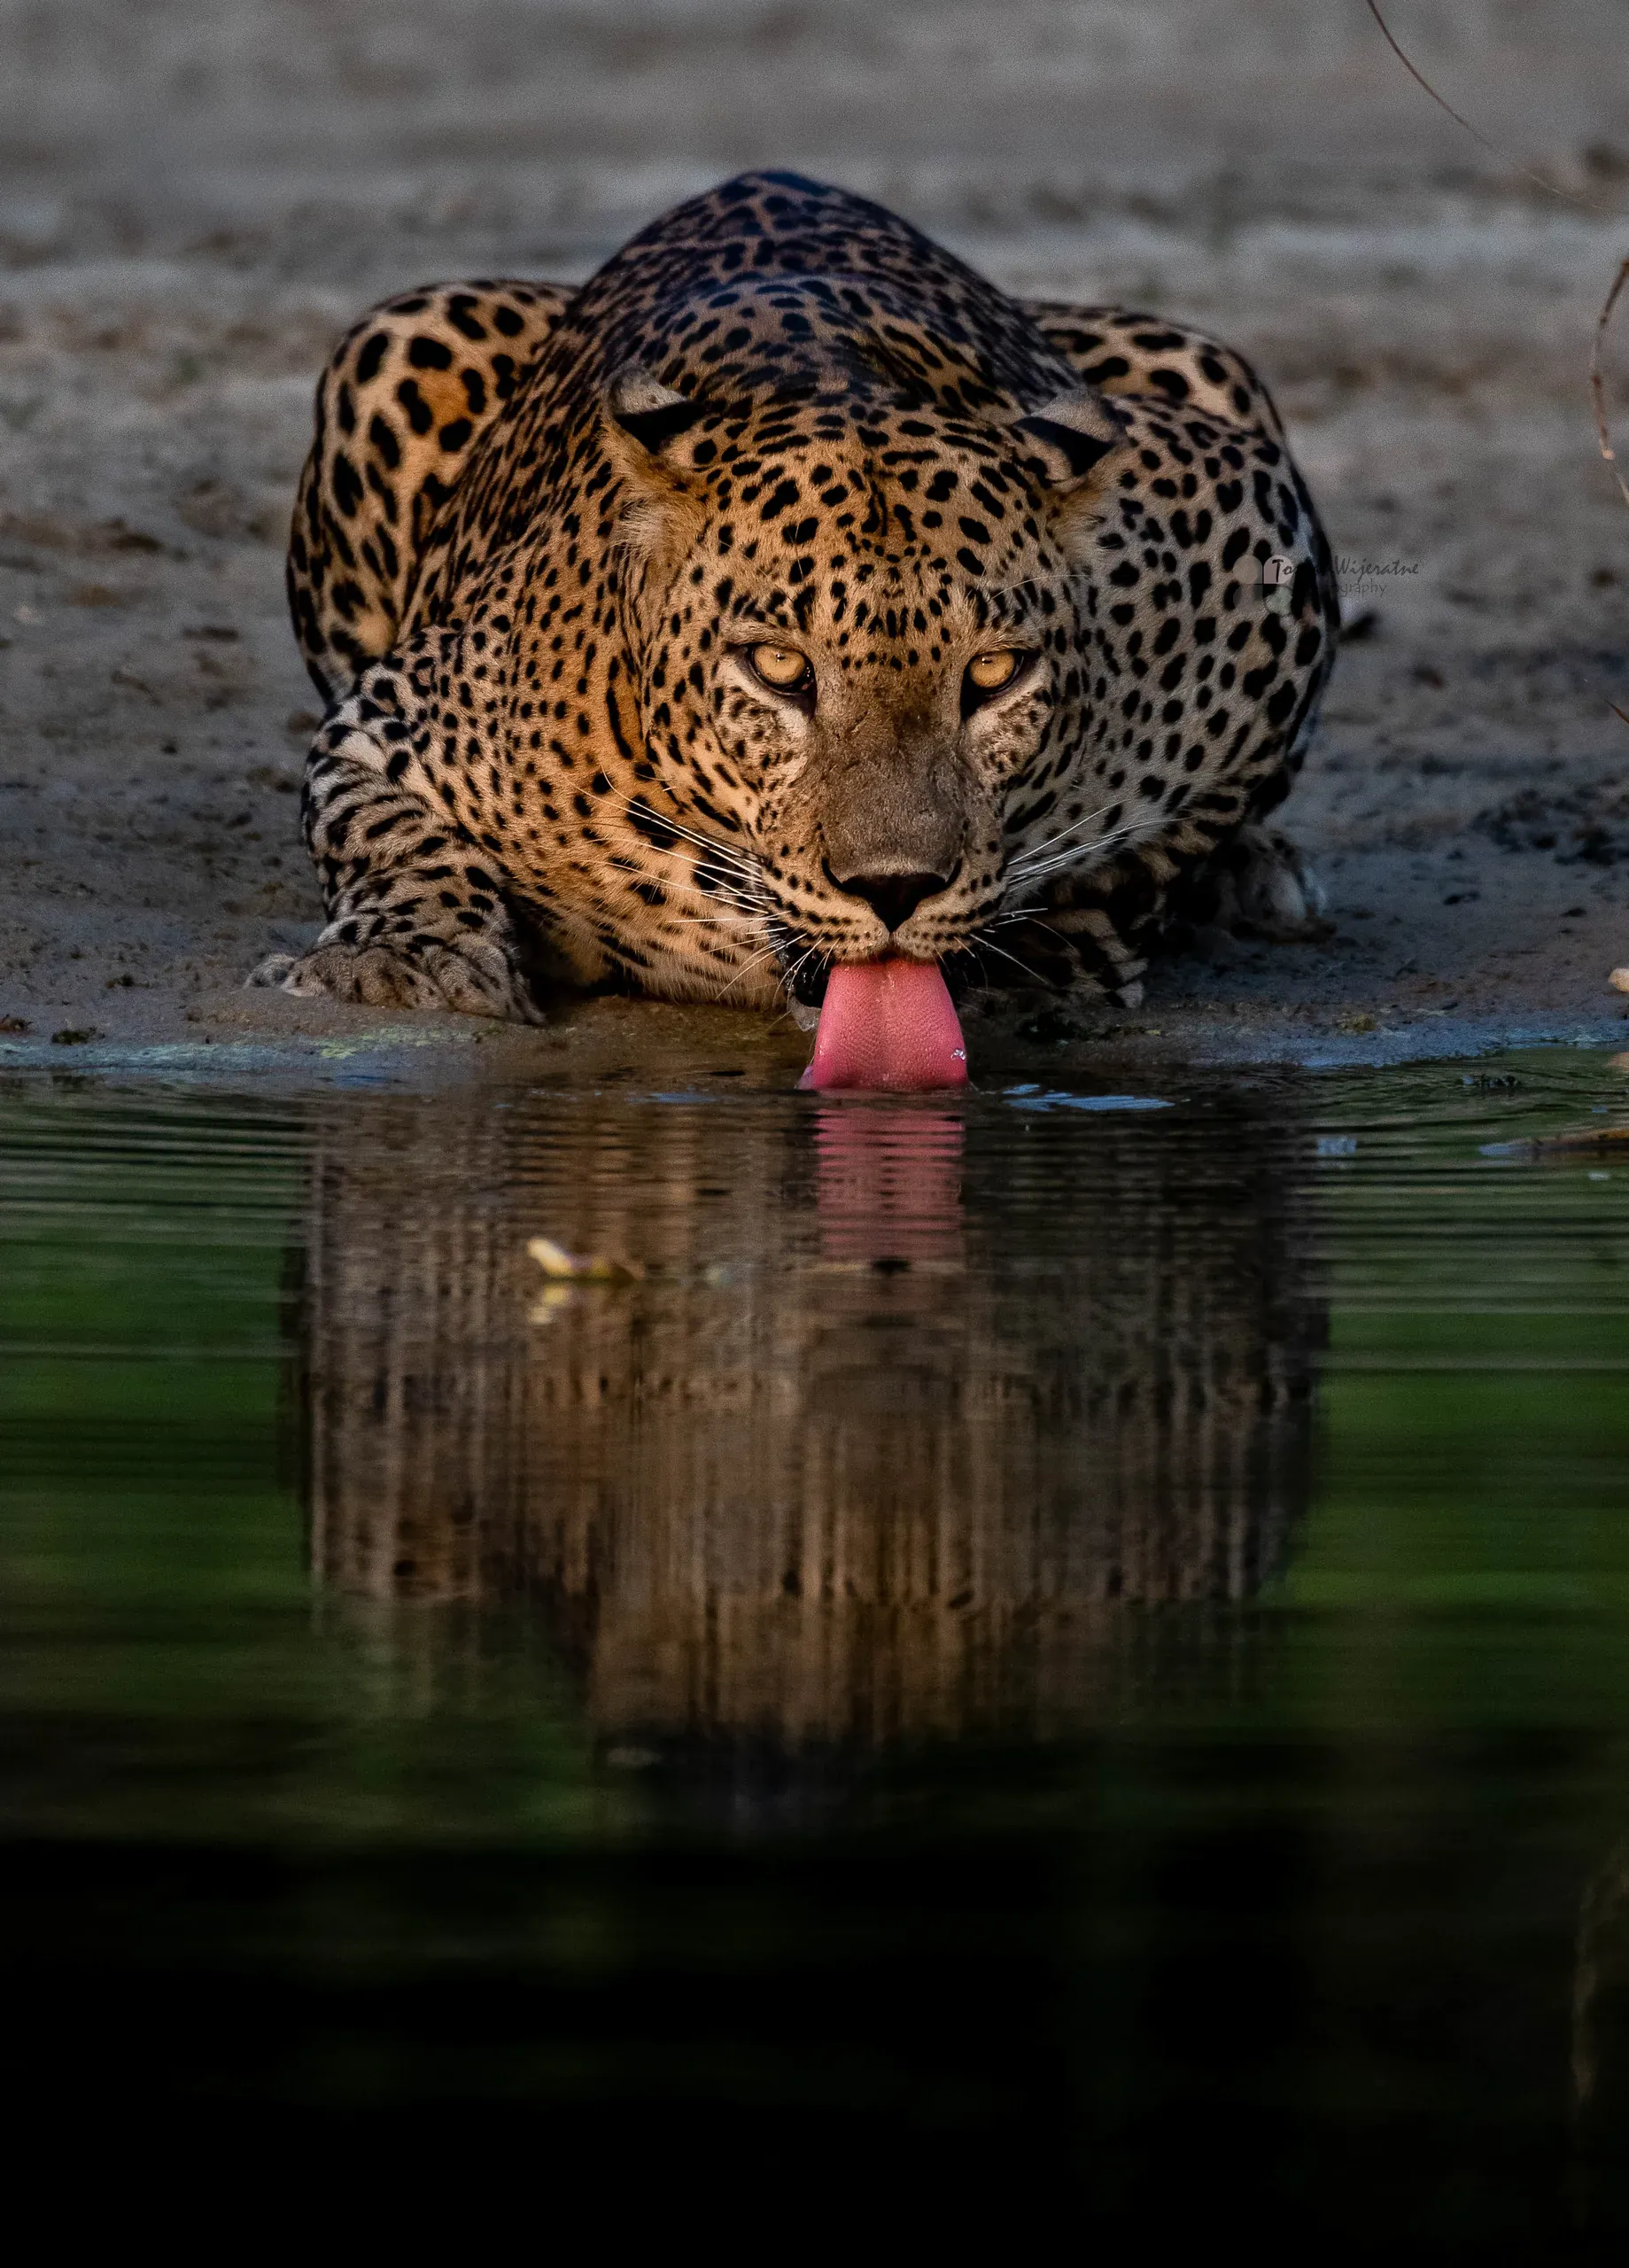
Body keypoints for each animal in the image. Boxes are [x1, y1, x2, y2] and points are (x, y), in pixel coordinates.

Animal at [255, 169, 1338, 1027]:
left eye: (994, 674)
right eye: (778, 667)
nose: (895, 890)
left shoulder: (1250, 526)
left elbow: (1163, 848)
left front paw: (1045, 951)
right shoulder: (391, 721)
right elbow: (383, 835)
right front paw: (410, 960)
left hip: (1211, 370)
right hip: (395, 337)